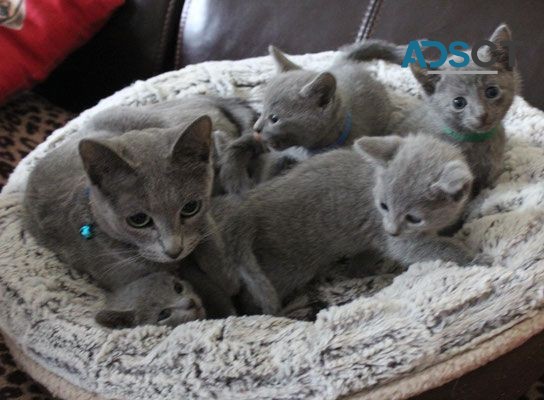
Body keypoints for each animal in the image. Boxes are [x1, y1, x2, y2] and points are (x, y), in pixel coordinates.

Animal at [221, 134, 476, 316]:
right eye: (383, 206)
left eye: (413, 218)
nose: (391, 230)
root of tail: (251, 202)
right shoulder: (397, 240)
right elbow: (433, 248)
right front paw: (475, 258)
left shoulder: (374, 240)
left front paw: (360, 269)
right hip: (285, 267)